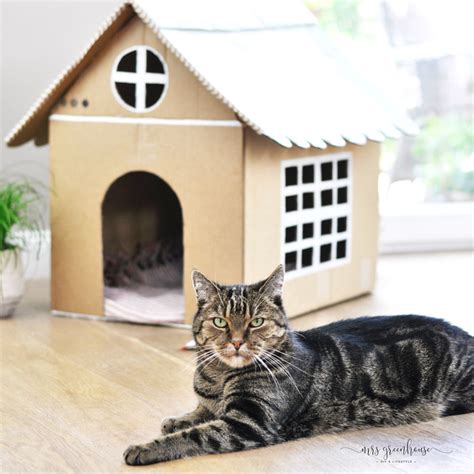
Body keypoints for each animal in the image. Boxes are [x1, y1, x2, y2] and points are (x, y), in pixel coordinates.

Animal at [123, 264, 474, 464]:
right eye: (220, 322)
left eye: (256, 321)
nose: (236, 342)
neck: (219, 375)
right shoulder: (216, 405)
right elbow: (198, 413)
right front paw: (178, 419)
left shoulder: (249, 422)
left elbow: (195, 435)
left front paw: (145, 448)